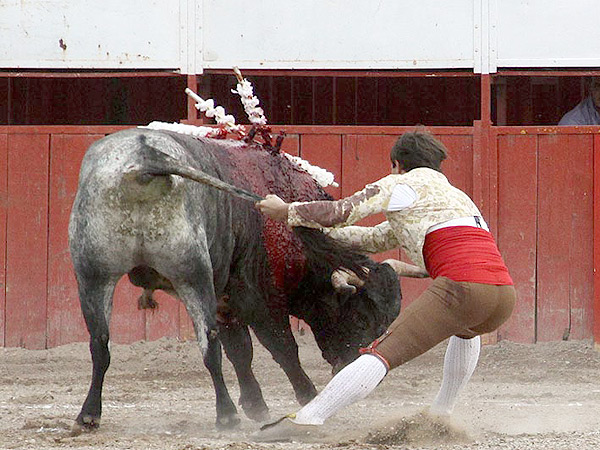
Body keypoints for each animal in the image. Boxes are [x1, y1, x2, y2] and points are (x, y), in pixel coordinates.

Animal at [68, 128, 400, 430]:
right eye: (361, 318)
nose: (348, 366)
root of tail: (145, 157)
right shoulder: (260, 297)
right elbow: (281, 348)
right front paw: (307, 395)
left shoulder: (225, 300)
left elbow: (240, 350)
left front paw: (256, 405)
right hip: (193, 275)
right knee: (210, 345)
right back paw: (226, 414)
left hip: (94, 274)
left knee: (100, 342)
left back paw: (88, 415)